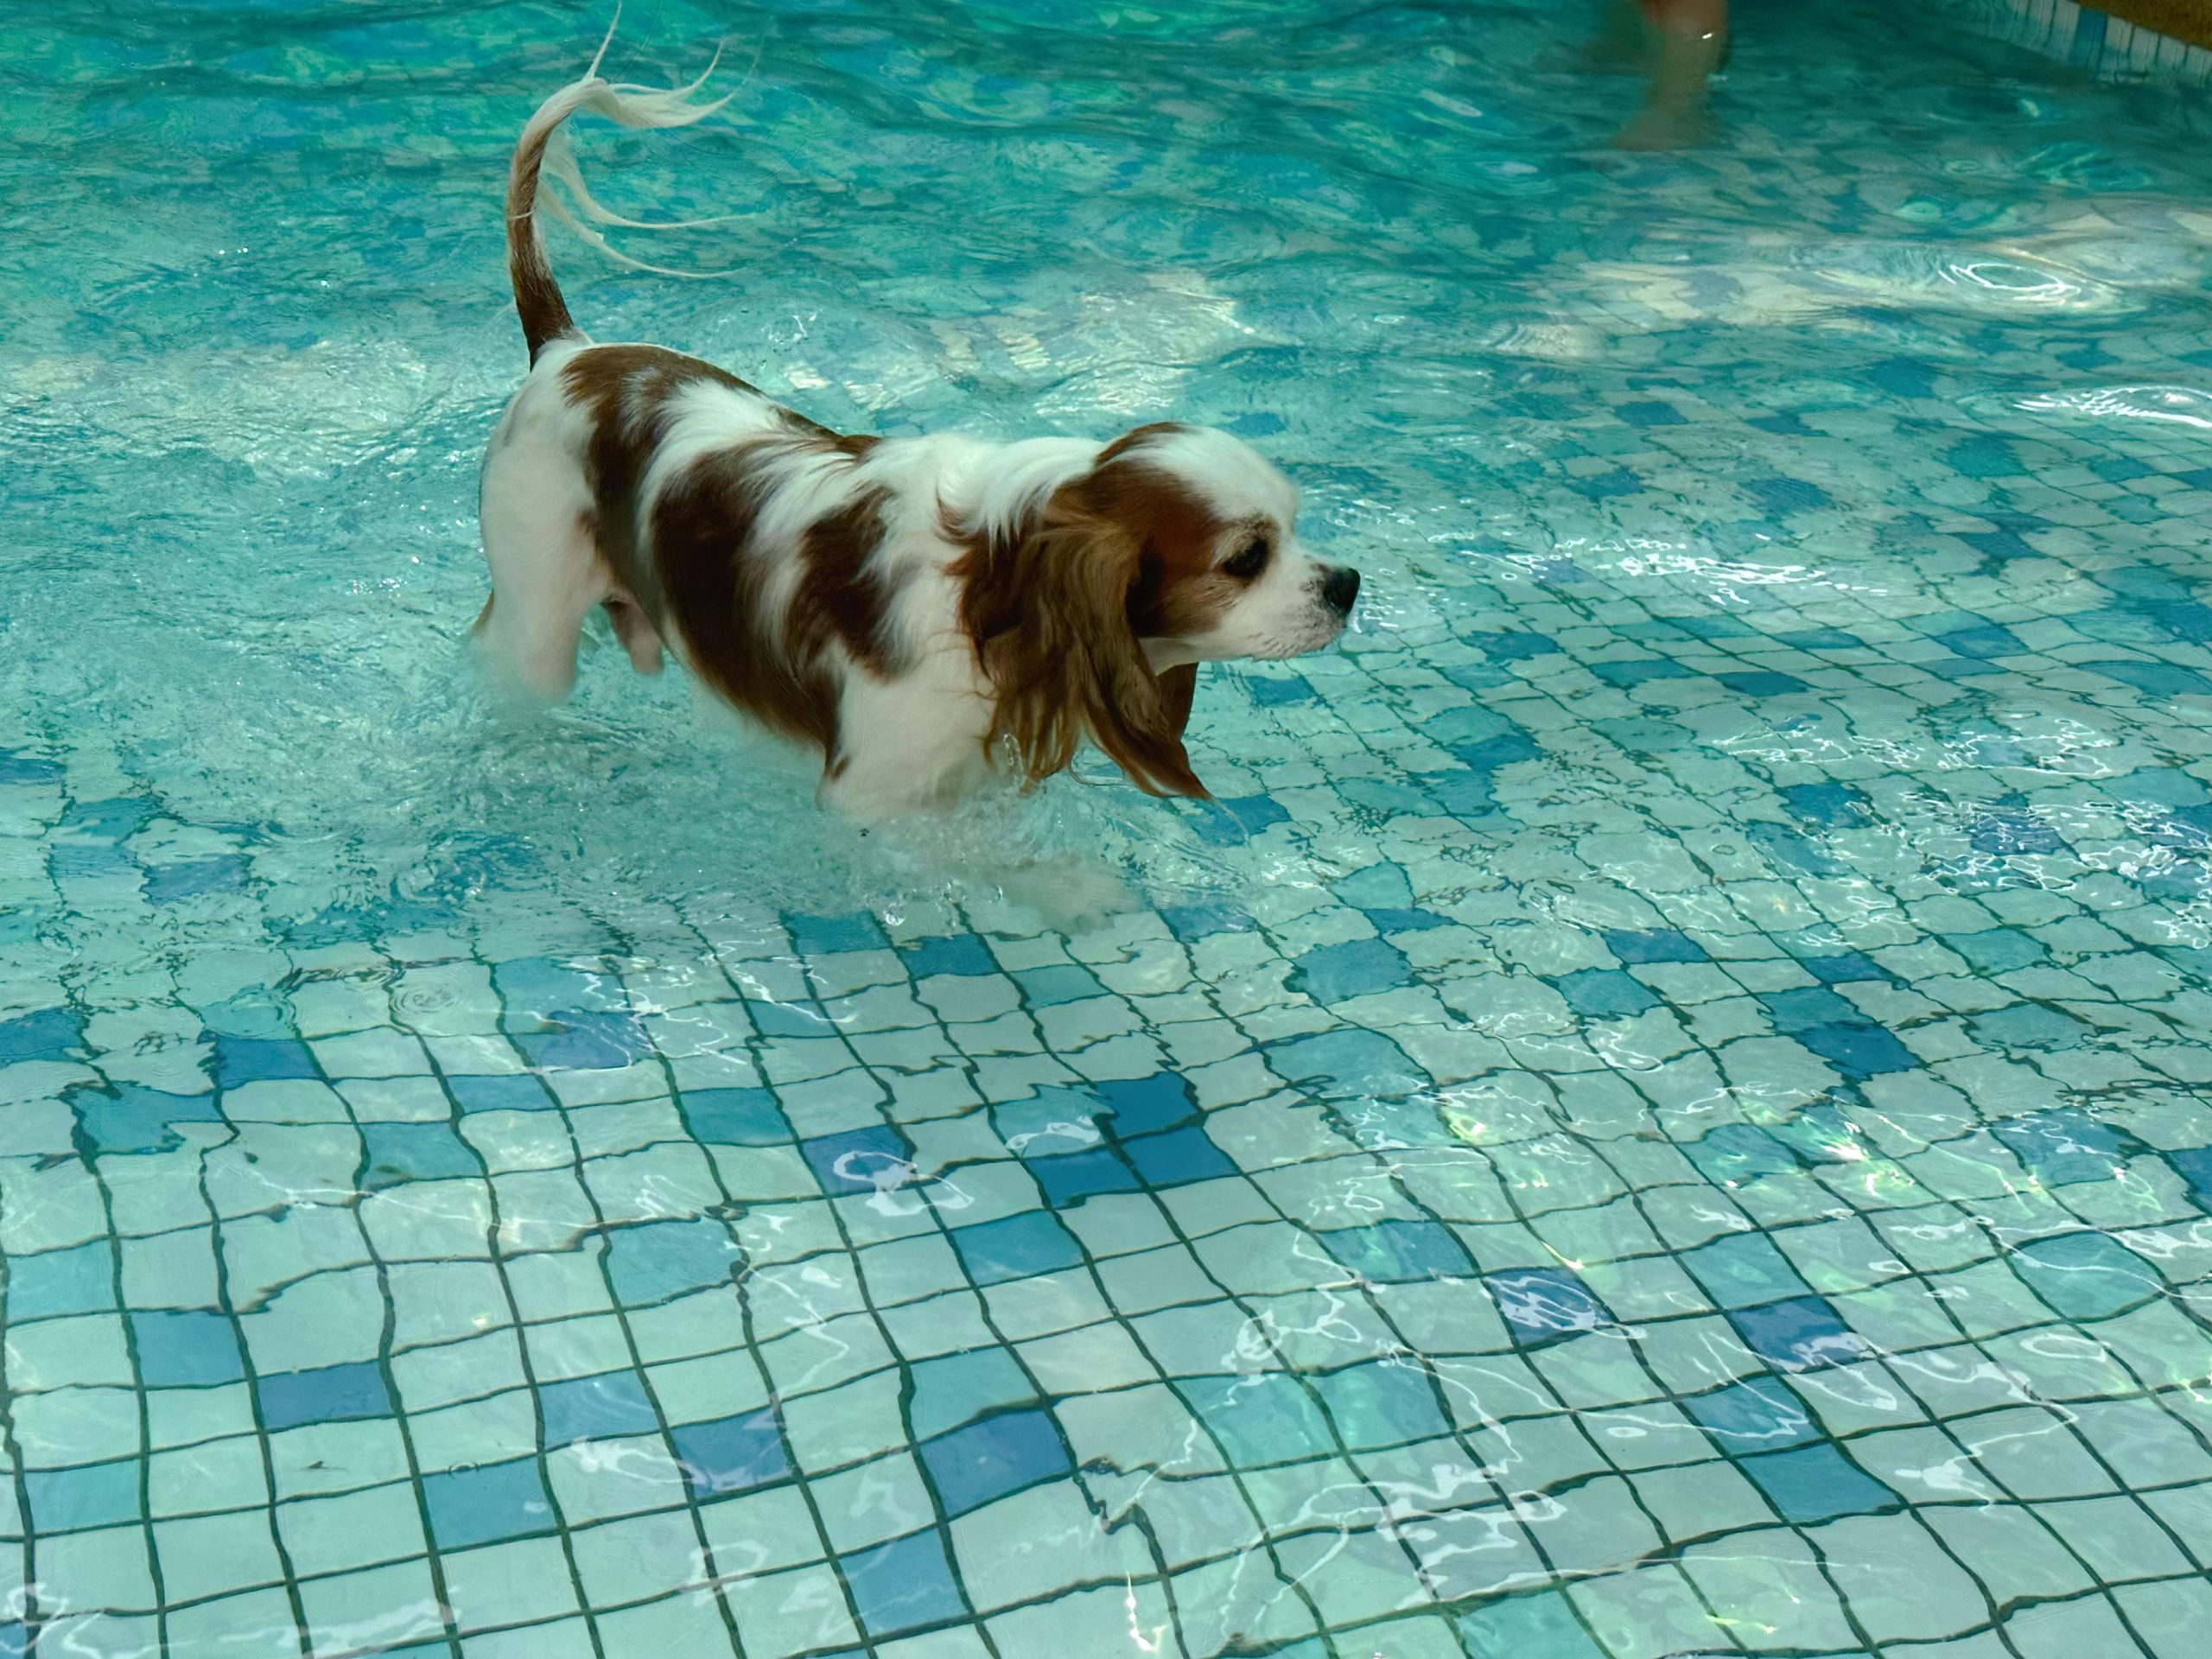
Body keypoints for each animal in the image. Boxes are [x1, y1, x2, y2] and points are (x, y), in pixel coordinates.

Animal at [475, 50, 1353, 827]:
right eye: (1246, 559)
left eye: (1297, 525)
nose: (1347, 584)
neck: (992, 587)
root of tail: (569, 350)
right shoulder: (871, 793)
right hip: (536, 616)